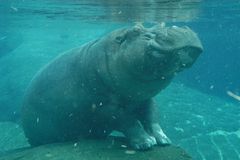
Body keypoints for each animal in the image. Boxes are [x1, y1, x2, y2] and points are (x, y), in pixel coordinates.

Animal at [22, 23, 202, 150]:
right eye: (136, 30)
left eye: (162, 24)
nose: (180, 28)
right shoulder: (104, 107)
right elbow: (129, 122)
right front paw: (146, 142)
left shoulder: (145, 98)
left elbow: (152, 118)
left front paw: (164, 140)